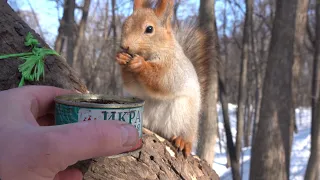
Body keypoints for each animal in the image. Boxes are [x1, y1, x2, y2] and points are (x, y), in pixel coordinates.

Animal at [115, 0, 212, 156]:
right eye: (125, 23)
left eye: (149, 29)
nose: (125, 46)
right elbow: (132, 85)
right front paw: (121, 58)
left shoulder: (173, 68)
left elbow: (161, 79)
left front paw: (140, 64)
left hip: (184, 116)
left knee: (185, 133)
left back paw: (183, 141)